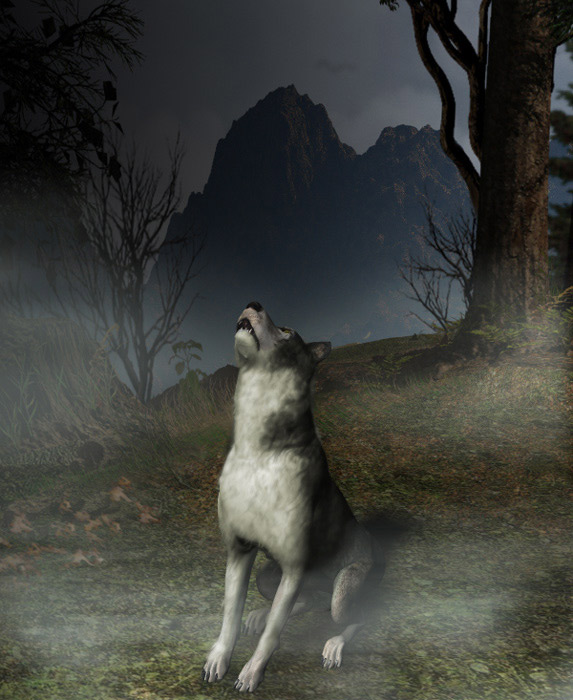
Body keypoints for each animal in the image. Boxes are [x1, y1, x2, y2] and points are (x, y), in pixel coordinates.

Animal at [202, 302, 385, 693]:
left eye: (287, 331)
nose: (254, 303)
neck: (258, 449)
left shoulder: (294, 564)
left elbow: (274, 634)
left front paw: (252, 672)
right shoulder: (240, 552)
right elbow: (230, 613)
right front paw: (219, 657)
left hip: (344, 588)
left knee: (354, 613)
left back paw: (335, 644)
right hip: (267, 577)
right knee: (308, 601)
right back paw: (261, 613)